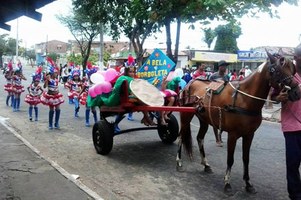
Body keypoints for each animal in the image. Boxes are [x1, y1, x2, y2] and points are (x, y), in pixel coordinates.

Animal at [176, 52, 300, 195]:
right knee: (181, 136)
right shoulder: (232, 135)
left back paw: (206, 165)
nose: (297, 92)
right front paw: (227, 183)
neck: (244, 98)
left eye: (293, 70)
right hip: (186, 115)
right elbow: (230, 159)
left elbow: (246, 159)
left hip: (204, 119)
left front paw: (248, 184)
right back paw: (179, 162)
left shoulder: (249, 135)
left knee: (199, 138)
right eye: (278, 70)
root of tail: (191, 82)